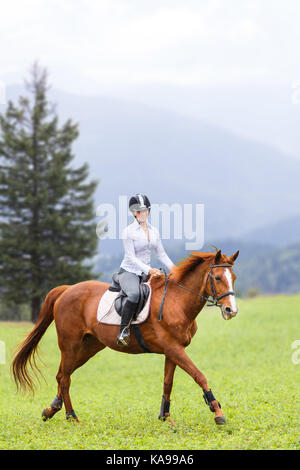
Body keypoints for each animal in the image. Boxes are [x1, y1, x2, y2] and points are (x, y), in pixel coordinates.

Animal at [11, 250, 239, 426]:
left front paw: (165, 418)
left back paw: (52, 410)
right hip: (70, 345)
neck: (177, 301)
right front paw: (218, 413)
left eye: (234, 278)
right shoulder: (174, 349)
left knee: (62, 375)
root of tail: (67, 290)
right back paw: (73, 418)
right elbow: (200, 376)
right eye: (217, 278)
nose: (231, 310)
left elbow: (168, 383)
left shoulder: (172, 351)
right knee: (65, 378)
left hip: (89, 347)